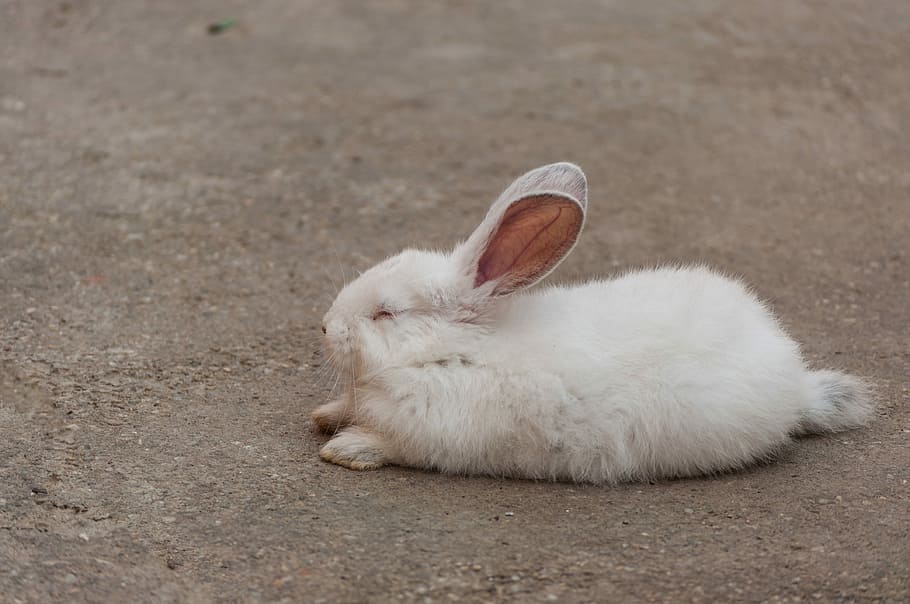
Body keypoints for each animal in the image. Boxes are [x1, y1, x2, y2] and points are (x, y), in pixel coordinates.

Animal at [312, 162, 874, 483]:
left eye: (386, 313)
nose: (325, 325)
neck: (448, 350)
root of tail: (797, 382)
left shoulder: (432, 435)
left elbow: (390, 445)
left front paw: (345, 449)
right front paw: (324, 415)